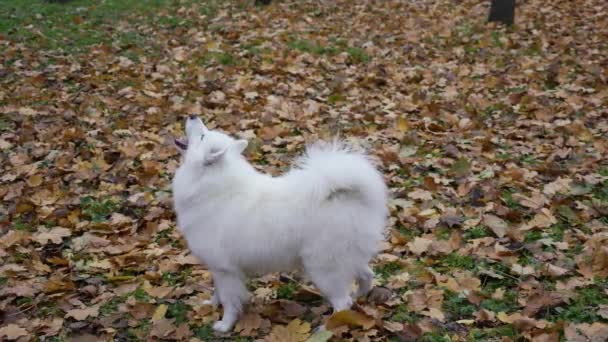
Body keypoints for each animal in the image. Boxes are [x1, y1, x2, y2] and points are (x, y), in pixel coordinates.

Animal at [173, 115, 388, 332]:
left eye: (202, 136)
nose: (192, 115)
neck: (211, 186)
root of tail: (343, 197)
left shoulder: (225, 270)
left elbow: (229, 300)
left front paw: (225, 325)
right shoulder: (218, 269)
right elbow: (217, 292)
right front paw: (210, 305)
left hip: (323, 269)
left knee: (342, 301)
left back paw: (327, 328)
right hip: (348, 258)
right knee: (367, 276)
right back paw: (357, 299)